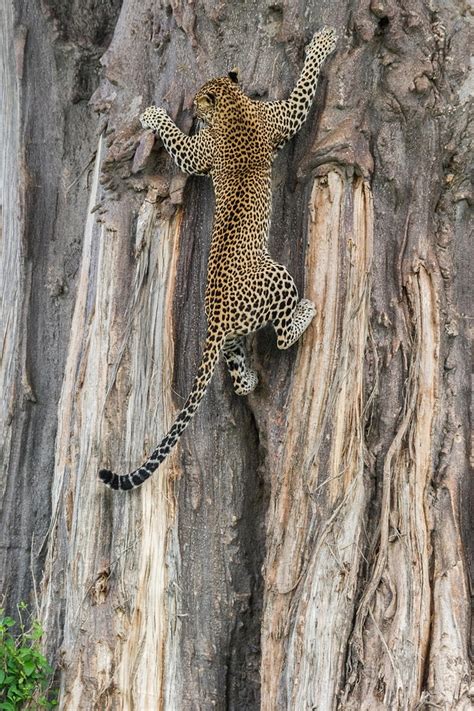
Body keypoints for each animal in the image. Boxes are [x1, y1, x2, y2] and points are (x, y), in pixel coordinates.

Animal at [99, 23, 336, 490]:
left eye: (196, 99)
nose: (191, 107)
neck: (233, 106)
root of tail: (217, 321)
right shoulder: (270, 122)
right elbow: (303, 86)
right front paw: (323, 43)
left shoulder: (220, 142)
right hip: (276, 274)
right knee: (282, 336)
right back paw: (307, 311)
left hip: (235, 330)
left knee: (238, 362)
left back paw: (249, 379)